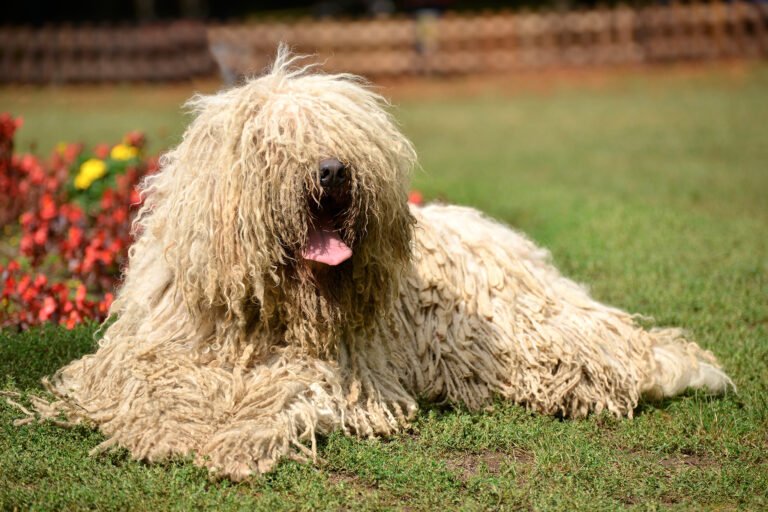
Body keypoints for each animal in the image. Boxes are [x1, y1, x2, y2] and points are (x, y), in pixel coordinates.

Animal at [28, 48, 732, 480]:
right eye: (272, 143)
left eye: (348, 140)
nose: (334, 170)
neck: (267, 314)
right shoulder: (150, 349)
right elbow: (146, 382)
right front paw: (168, 422)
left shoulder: (325, 370)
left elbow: (278, 398)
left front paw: (229, 434)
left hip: (538, 337)